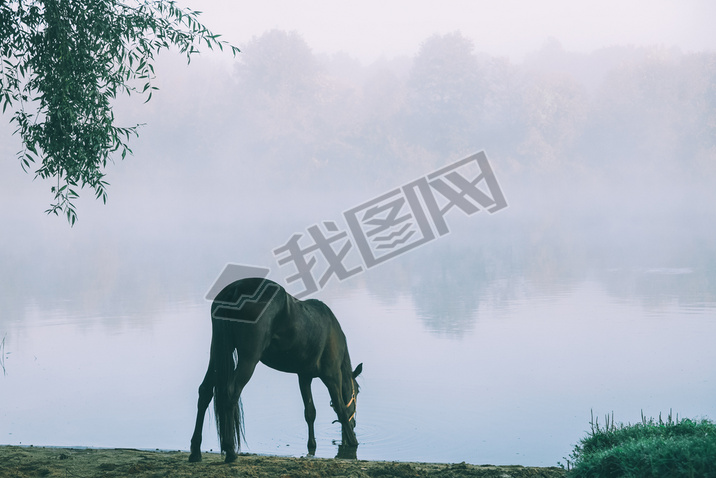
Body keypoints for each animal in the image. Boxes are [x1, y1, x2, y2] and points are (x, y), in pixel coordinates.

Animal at [189, 276, 360, 464]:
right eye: (357, 391)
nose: (354, 424)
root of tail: (234, 290)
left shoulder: (304, 376)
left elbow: (310, 412)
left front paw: (312, 445)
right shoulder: (332, 376)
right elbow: (341, 408)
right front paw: (353, 442)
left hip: (219, 351)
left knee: (205, 391)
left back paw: (195, 451)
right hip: (249, 359)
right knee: (231, 392)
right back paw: (230, 450)